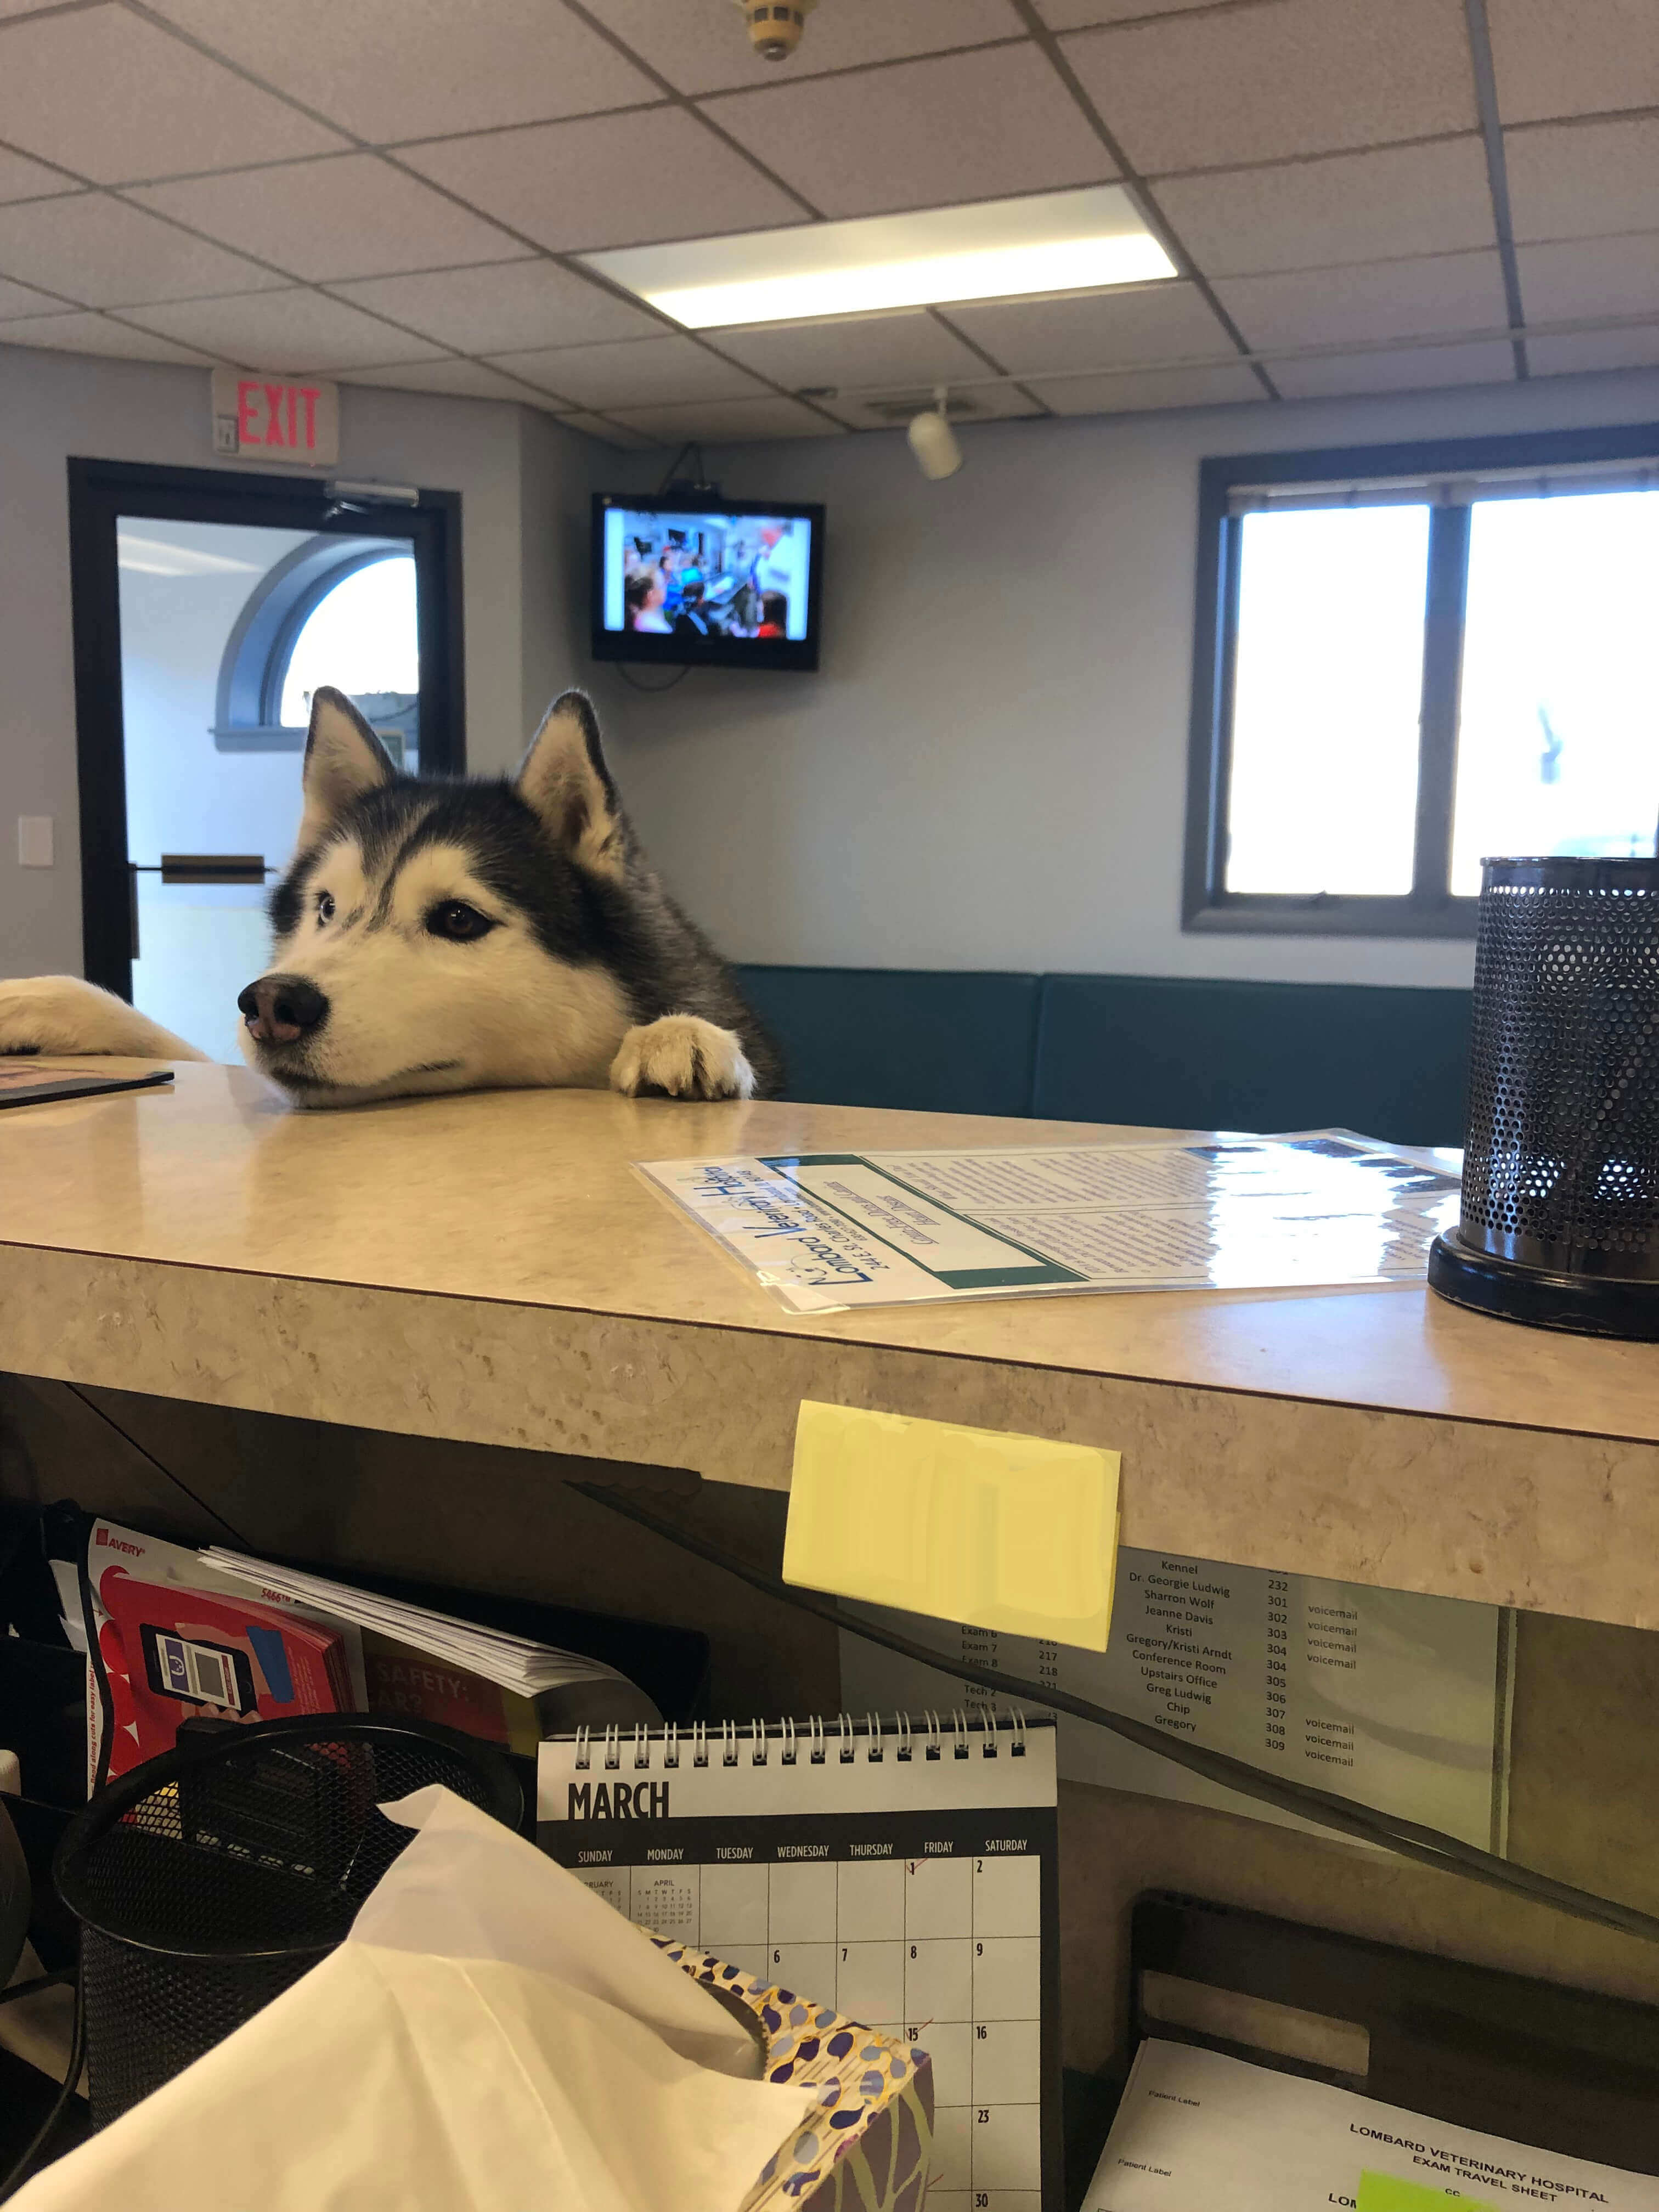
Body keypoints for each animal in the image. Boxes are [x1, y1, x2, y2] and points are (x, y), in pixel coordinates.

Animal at [0, 685, 778, 1106]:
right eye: (324, 909)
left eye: (459, 919)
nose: (273, 1004)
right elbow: (175, 1042)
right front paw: (47, 1002)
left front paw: (680, 1034)